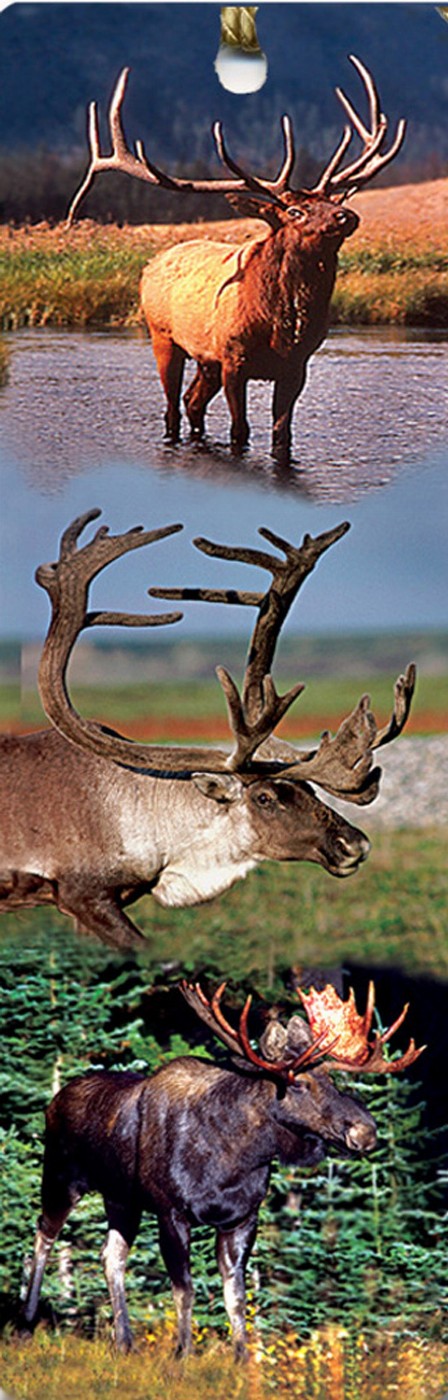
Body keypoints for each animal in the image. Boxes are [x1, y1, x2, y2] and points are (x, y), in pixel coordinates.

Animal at [20, 974, 422, 1355]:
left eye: (332, 1079)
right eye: (299, 1083)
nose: (365, 1130)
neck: (233, 1160)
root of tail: (53, 1101)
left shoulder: (242, 1218)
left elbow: (236, 1296)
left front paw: (242, 1360)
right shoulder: (171, 1211)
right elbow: (185, 1290)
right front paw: (182, 1355)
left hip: (121, 1199)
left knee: (111, 1255)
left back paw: (125, 1342)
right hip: (61, 1177)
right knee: (44, 1234)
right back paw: (25, 1324)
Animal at [68, 57, 408, 462]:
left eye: (331, 201)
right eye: (294, 211)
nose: (347, 216)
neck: (279, 326)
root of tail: (151, 264)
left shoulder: (297, 364)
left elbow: (282, 435)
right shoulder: (233, 357)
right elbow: (239, 431)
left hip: (205, 359)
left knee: (192, 401)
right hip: (163, 336)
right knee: (171, 407)